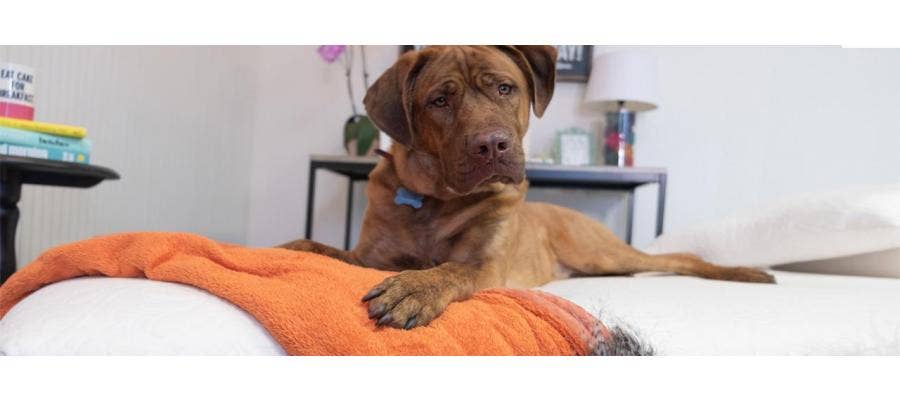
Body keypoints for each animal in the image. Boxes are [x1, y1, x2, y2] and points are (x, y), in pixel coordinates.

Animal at [282, 45, 772, 330]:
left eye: (505, 88)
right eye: (440, 100)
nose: (492, 145)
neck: (438, 200)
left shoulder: (484, 264)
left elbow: (451, 269)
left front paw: (414, 288)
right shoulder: (370, 256)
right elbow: (323, 249)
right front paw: (293, 247)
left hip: (598, 250)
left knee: (678, 259)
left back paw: (747, 273)